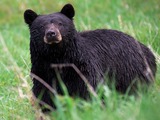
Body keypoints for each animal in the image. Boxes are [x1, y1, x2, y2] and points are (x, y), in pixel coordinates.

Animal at [23, 3, 156, 111]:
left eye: (60, 24)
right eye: (41, 26)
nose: (51, 34)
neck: (57, 57)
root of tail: (147, 50)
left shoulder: (82, 67)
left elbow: (88, 88)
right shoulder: (42, 71)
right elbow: (45, 93)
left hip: (132, 71)